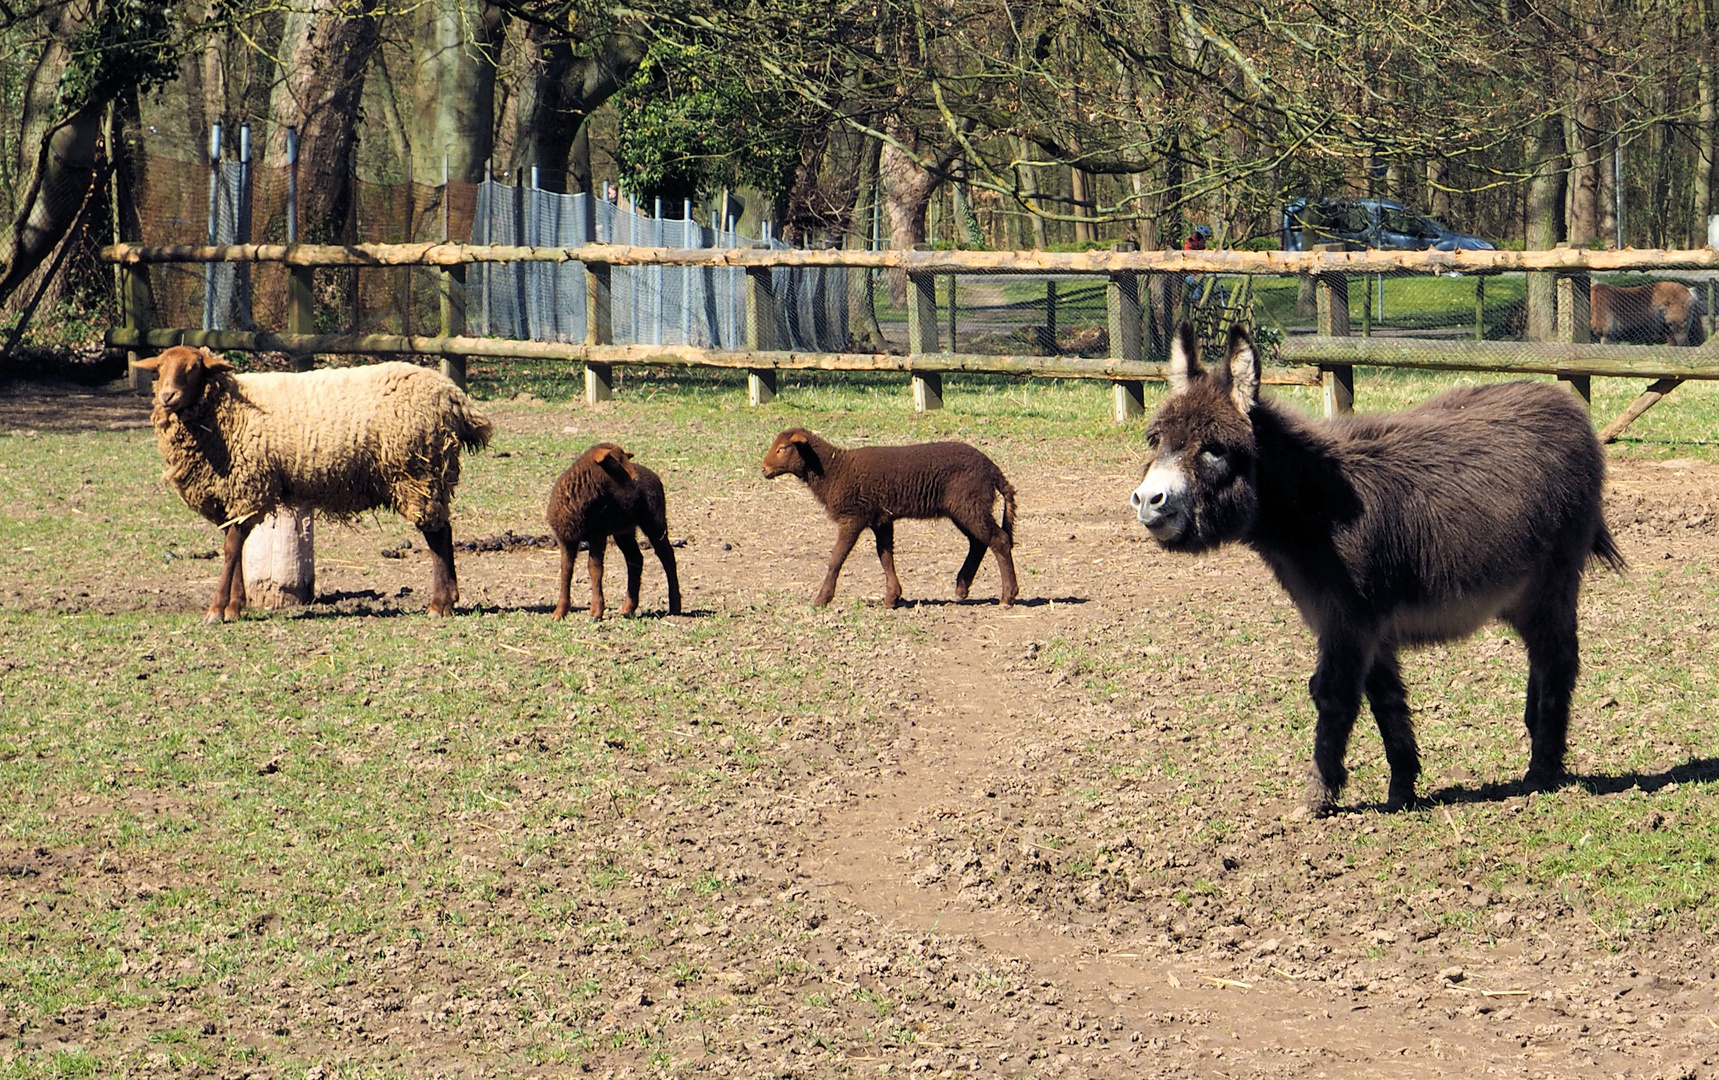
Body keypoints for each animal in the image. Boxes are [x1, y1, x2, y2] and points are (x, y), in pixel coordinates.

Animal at [135, 350, 491, 619]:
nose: (167, 397)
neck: (227, 410)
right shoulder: (231, 495)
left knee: (437, 534)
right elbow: (233, 548)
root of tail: (454, 397)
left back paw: (439, 604)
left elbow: (231, 549)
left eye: (194, 369)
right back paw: (449, 599)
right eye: (160, 369)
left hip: (417, 471)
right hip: (427, 473)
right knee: (443, 530)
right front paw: (234, 606)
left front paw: (218, 609)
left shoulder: (249, 485)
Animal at [550, 443, 684, 619]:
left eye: (625, 459)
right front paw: (560, 612)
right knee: (635, 559)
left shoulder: (597, 534)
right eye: (616, 462)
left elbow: (595, 568)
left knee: (667, 556)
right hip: (624, 530)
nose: (636, 479)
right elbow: (566, 570)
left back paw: (675, 605)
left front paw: (596, 611)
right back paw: (628, 608)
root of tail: (652, 473)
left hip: (654, 520)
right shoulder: (565, 538)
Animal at [766, 426, 1017, 608]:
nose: (764, 469)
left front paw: (821, 599)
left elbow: (837, 557)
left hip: (970, 505)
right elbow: (885, 556)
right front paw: (892, 598)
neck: (833, 470)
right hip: (965, 509)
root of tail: (993, 469)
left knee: (999, 540)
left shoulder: (853, 517)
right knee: (979, 542)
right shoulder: (881, 519)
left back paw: (1007, 597)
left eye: (783, 448)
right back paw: (962, 587)